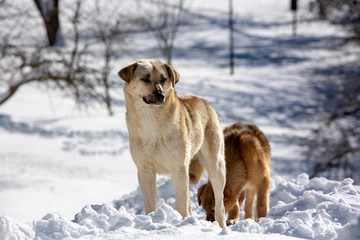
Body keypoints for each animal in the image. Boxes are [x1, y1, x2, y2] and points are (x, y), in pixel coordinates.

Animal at [118, 59, 225, 228]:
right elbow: (150, 204)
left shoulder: (179, 168)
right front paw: (150, 220)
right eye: (145, 79)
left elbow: (181, 204)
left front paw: (181, 224)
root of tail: (205, 102)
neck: (152, 122)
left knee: (219, 205)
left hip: (215, 167)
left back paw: (220, 227)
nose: (160, 95)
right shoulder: (145, 170)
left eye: (163, 79)